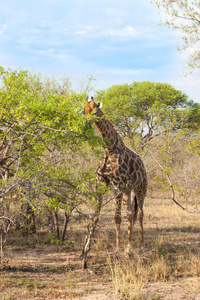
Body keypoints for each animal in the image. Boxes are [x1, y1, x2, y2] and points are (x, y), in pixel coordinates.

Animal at [83, 98, 148, 255]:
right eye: (84, 111)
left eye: (95, 111)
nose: (86, 127)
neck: (109, 148)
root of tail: (143, 165)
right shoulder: (100, 185)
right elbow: (96, 216)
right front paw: (86, 247)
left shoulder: (117, 186)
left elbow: (117, 217)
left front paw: (117, 249)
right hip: (128, 190)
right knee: (130, 214)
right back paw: (129, 247)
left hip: (141, 188)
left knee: (141, 213)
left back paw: (141, 245)